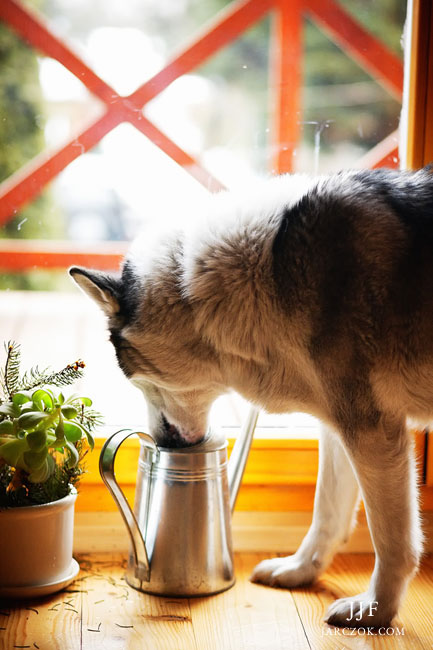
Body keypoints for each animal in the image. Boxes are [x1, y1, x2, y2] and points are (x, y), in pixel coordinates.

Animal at [69, 168, 430, 628]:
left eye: (136, 379)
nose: (164, 444)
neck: (269, 271)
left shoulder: (372, 431)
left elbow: (392, 540)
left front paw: (376, 610)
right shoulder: (340, 428)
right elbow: (327, 513)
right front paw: (300, 571)